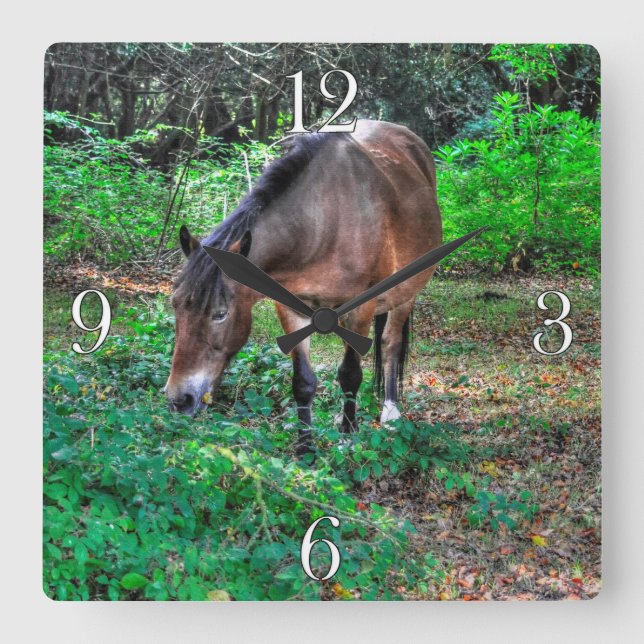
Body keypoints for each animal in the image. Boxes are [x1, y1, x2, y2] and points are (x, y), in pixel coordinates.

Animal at [165, 119, 442, 453]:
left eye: (220, 314)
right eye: (175, 306)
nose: (180, 400)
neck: (325, 223)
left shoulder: (361, 309)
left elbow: (350, 373)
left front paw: (347, 435)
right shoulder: (290, 308)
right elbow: (303, 381)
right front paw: (306, 448)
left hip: (406, 294)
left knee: (391, 344)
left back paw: (390, 411)